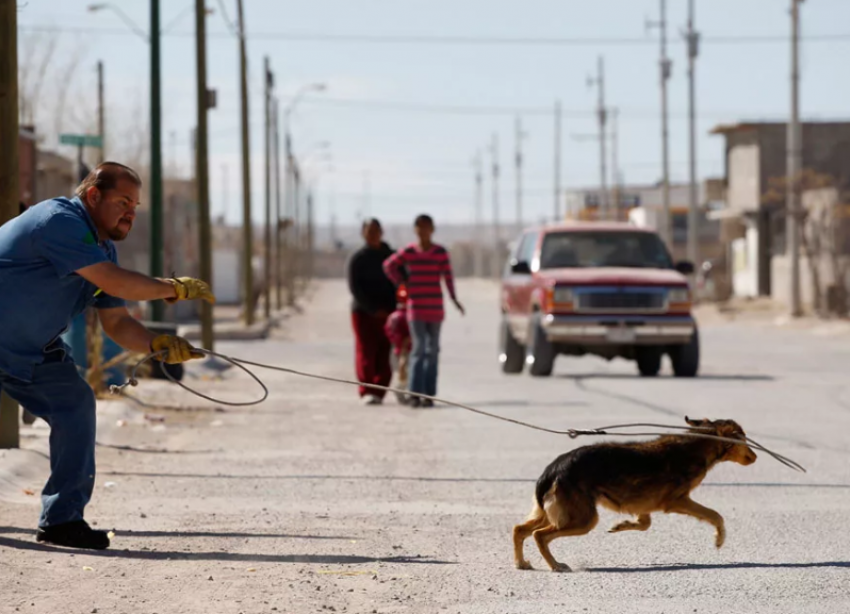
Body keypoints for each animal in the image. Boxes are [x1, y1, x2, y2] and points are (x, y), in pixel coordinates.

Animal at [510, 418, 756, 572]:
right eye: (743, 438)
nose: (755, 457)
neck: (699, 443)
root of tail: (552, 469)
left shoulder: (644, 505)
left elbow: (644, 524)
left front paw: (622, 525)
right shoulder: (678, 500)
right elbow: (715, 515)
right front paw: (719, 538)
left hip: (557, 513)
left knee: (520, 530)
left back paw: (521, 563)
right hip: (583, 519)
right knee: (540, 535)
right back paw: (555, 565)